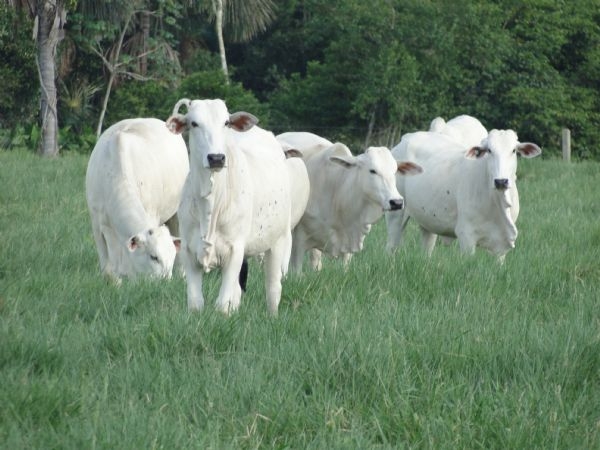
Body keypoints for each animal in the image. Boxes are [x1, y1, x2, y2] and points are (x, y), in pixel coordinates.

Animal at [164, 99, 308, 314]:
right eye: (194, 123)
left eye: (226, 123)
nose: (216, 158)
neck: (211, 205)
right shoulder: (189, 251)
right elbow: (196, 302)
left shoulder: (234, 251)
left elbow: (222, 304)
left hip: (278, 241)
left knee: (273, 288)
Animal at [386, 126, 540, 260]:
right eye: (489, 150)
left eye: (513, 150)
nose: (501, 181)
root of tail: (406, 138)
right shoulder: (466, 236)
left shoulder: (502, 245)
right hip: (396, 214)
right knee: (391, 246)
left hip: (427, 220)